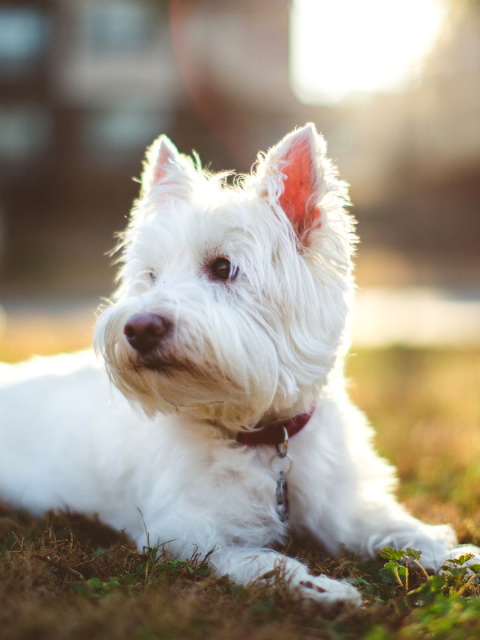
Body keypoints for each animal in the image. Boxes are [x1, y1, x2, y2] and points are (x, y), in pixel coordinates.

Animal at [0, 124, 474, 604]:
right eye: (151, 275)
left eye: (223, 267)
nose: (139, 328)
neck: (261, 434)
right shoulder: (189, 534)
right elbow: (264, 561)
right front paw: (323, 590)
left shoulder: (347, 506)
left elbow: (403, 529)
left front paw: (455, 555)